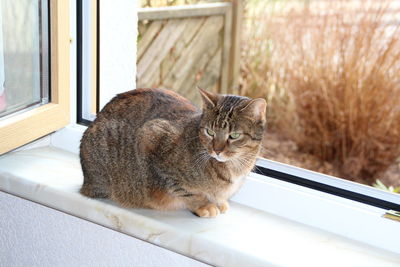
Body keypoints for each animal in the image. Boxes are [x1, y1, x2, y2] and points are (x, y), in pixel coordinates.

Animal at [80, 88, 266, 218]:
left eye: (234, 136)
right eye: (210, 132)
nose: (217, 150)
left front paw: (219, 201)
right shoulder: (151, 138)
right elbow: (186, 191)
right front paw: (204, 205)